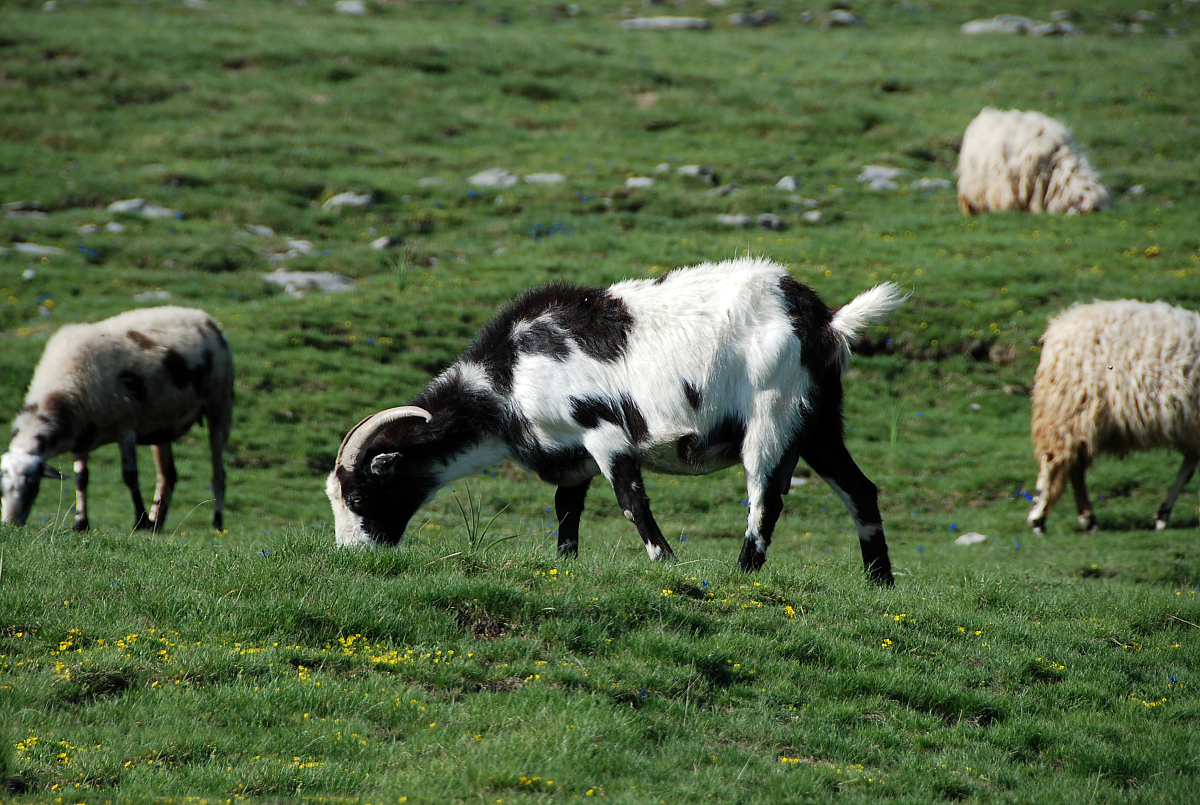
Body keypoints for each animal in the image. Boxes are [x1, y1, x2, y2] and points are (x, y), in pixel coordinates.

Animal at [1, 309, 234, 535]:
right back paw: (157, 524)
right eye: (1, 489)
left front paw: (140, 521)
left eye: (32, 487)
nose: (10, 524)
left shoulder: (126, 427)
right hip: (163, 424)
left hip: (219, 404)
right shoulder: (83, 432)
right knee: (167, 475)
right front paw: (81, 523)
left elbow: (130, 474)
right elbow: (81, 477)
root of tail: (205, 317)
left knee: (219, 473)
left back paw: (217, 522)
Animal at [324, 255, 902, 583]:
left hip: (773, 415)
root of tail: (823, 321)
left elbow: (631, 503)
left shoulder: (601, 432)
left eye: (359, 498)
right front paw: (565, 565)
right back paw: (879, 584)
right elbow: (566, 512)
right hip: (820, 422)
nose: (353, 556)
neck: (507, 377)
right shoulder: (573, 455)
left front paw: (665, 563)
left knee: (765, 499)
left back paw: (743, 577)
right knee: (860, 489)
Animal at [1022, 301, 1200, 535]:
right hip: (1071, 409)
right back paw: (1038, 518)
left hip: (1078, 416)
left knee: (1074, 467)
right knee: (1053, 462)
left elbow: (1188, 468)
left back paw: (1088, 520)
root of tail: (1057, 329)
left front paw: (1163, 514)